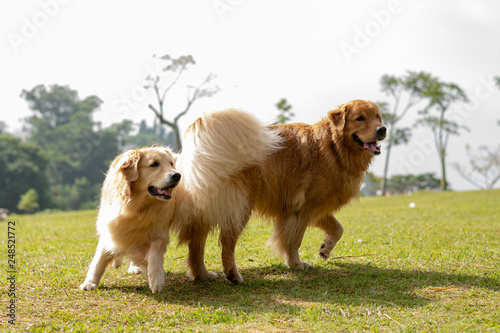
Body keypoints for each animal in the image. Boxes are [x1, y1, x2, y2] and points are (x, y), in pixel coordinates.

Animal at [79, 108, 282, 290]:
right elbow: (99, 260)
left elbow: (154, 254)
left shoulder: (158, 233)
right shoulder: (111, 228)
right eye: (154, 164)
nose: (177, 176)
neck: (138, 206)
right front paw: (90, 283)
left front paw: (156, 280)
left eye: (171, 164)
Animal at [180, 99, 386, 282]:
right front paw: (295, 264)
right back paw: (232, 275)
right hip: (241, 206)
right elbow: (294, 240)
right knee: (226, 241)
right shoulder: (302, 209)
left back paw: (202, 275)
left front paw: (325, 249)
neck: (333, 147)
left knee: (196, 242)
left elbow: (338, 228)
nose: (382, 129)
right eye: (360, 118)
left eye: (377, 117)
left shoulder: (314, 207)